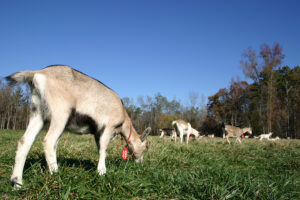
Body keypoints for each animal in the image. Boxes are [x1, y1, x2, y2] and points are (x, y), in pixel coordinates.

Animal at [6, 65, 152, 188]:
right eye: (146, 146)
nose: (140, 163)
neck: (123, 118)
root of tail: (37, 73)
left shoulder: (97, 133)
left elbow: (100, 149)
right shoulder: (107, 127)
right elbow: (103, 150)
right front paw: (102, 173)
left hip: (38, 112)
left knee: (25, 141)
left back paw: (17, 183)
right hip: (61, 113)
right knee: (49, 142)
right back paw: (57, 175)